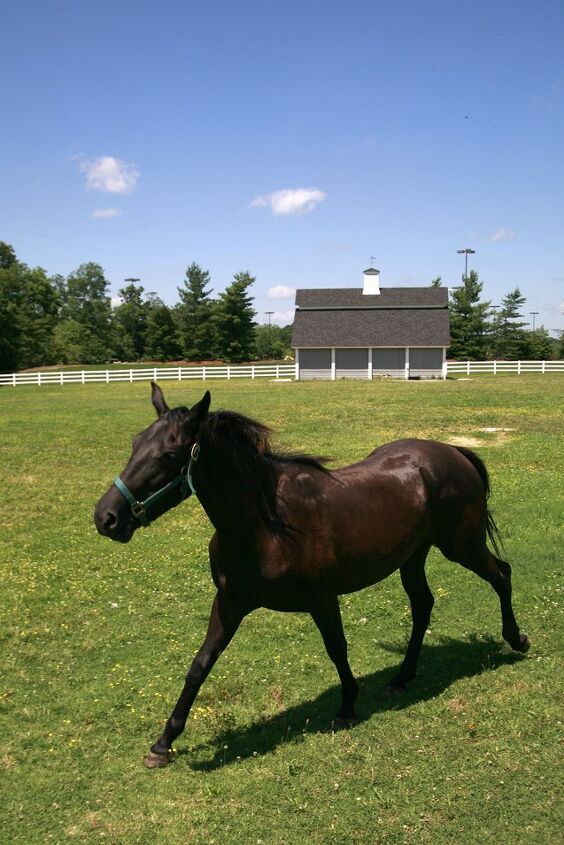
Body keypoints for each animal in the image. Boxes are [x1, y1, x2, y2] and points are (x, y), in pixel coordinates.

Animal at [94, 386, 532, 768]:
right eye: (135, 442)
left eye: (169, 454)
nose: (106, 517)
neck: (267, 525)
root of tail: (454, 452)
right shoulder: (230, 602)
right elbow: (200, 665)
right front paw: (163, 743)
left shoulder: (322, 598)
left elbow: (337, 648)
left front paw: (348, 705)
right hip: (413, 557)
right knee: (424, 605)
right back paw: (403, 676)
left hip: (462, 547)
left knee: (501, 575)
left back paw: (516, 639)